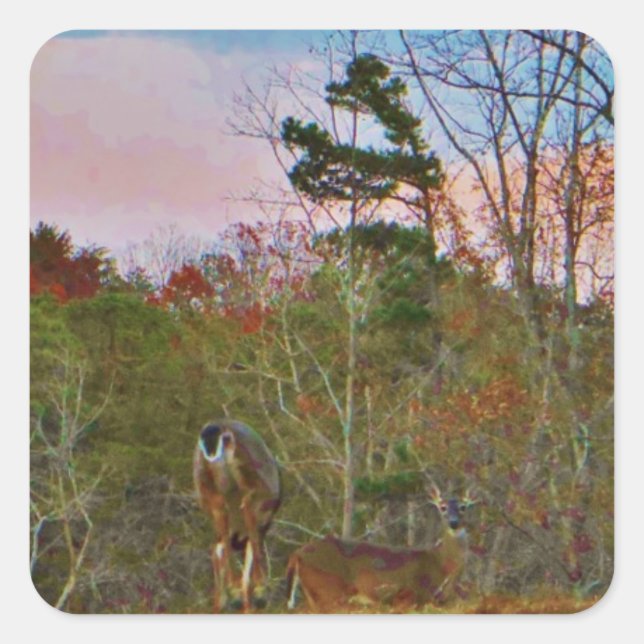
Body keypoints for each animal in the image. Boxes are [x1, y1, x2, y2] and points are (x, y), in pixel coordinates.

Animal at [193, 419, 281, 612]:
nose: (217, 607)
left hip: (212, 490)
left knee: (221, 542)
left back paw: (234, 594)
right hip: (253, 487)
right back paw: (255, 591)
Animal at [286, 482, 476, 612]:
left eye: (463, 507)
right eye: (442, 507)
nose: (453, 522)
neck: (440, 563)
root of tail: (296, 554)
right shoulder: (411, 595)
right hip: (328, 589)